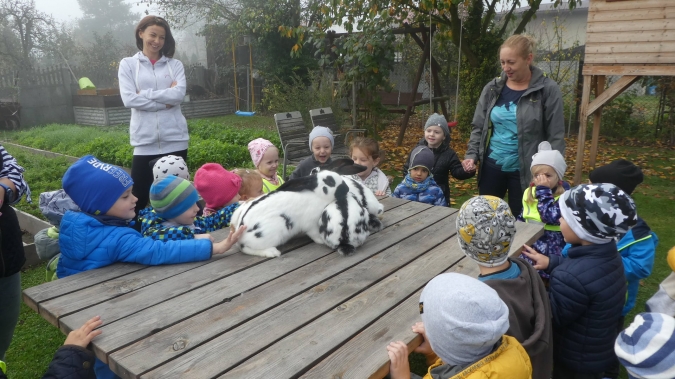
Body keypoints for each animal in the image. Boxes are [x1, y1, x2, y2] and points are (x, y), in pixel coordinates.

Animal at [232, 160, 370, 258]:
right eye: (329, 182)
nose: (345, 188)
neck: (317, 195)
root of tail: (240, 236)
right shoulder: (312, 224)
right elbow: (315, 235)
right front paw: (322, 241)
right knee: (247, 249)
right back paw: (272, 252)